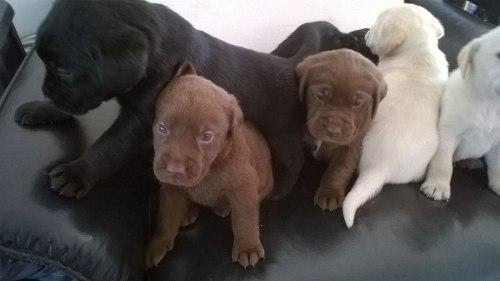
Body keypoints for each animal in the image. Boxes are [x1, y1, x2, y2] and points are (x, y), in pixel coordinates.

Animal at [14, 0, 368, 199]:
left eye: (65, 70)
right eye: (45, 63)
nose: (45, 90)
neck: (156, 47)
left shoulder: (139, 119)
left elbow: (108, 146)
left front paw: (77, 173)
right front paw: (41, 108)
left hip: (280, 137)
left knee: (293, 160)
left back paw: (279, 190)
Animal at [422, 26, 500, 199]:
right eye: (499, 55)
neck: (492, 105)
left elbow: (498, 167)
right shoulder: (448, 134)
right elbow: (442, 163)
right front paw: (438, 184)